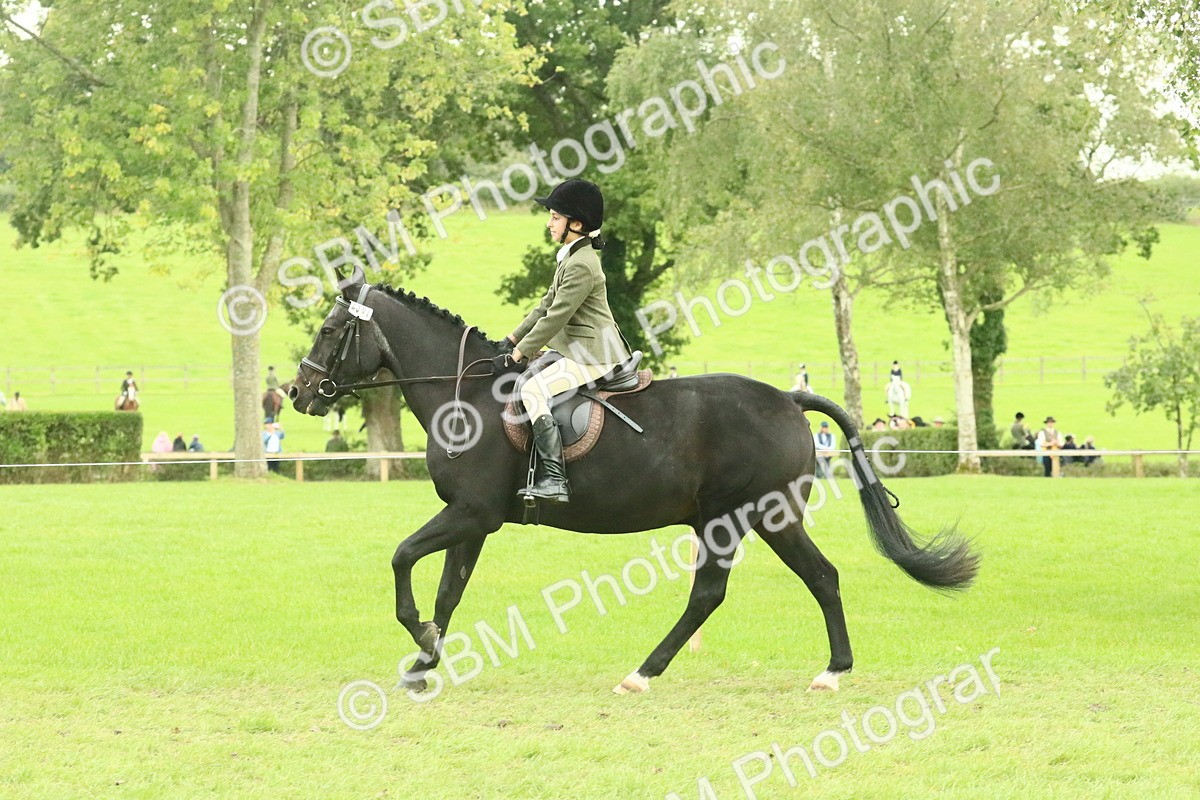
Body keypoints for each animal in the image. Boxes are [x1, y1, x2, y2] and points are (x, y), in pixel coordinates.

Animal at [289, 276, 979, 695]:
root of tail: (787, 399)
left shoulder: (472, 512)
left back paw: (810, 673)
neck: (468, 394)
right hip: (731, 521)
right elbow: (448, 591)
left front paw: (422, 643)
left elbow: (403, 558)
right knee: (732, 591)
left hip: (755, 517)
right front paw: (424, 662)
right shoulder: (473, 519)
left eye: (329, 331)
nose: (297, 392)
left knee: (794, 581)